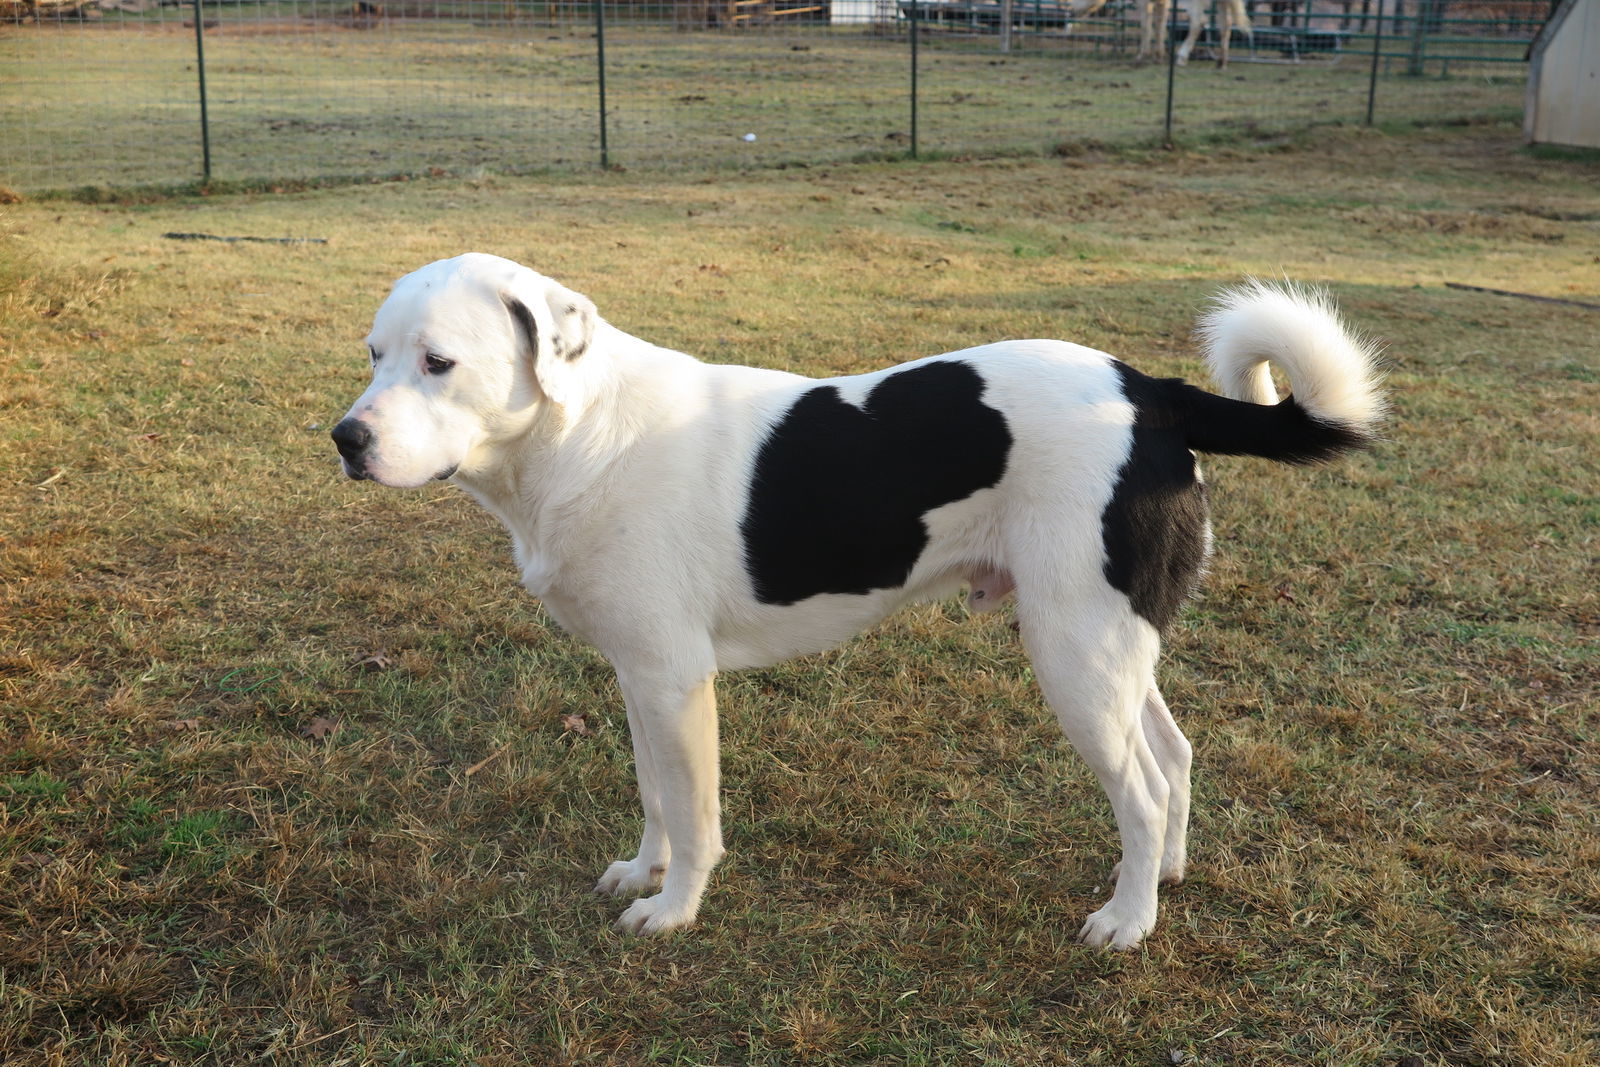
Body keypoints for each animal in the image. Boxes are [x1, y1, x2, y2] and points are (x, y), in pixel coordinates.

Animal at [331, 252, 1382, 953]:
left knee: (1145, 785)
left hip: (1074, 652)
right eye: (375, 353)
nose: (345, 438)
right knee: (1174, 755)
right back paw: (1160, 872)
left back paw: (1127, 920)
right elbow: (656, 793)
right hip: (1107, 641)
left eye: (438, 362)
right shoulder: (641, 675)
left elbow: (696, 815)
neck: (581, 431)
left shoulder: (675, 679)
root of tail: (1149, 390)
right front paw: (643, 869)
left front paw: (672, 910)